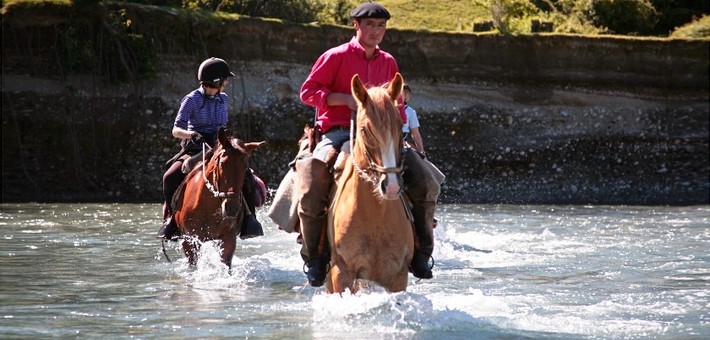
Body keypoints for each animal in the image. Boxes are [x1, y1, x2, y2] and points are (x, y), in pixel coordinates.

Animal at [171, 127, 266, 268]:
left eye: (245, 168)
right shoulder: (189, 241)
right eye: (222, 163)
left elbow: (226, 264)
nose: (232, 208)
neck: (206, 207)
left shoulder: (228, 238)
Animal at [326, 73, 414, 294]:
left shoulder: (398, 276)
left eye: (400, 126)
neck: (375, 216)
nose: (391, 186)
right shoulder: (341, 271)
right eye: (365, 130)